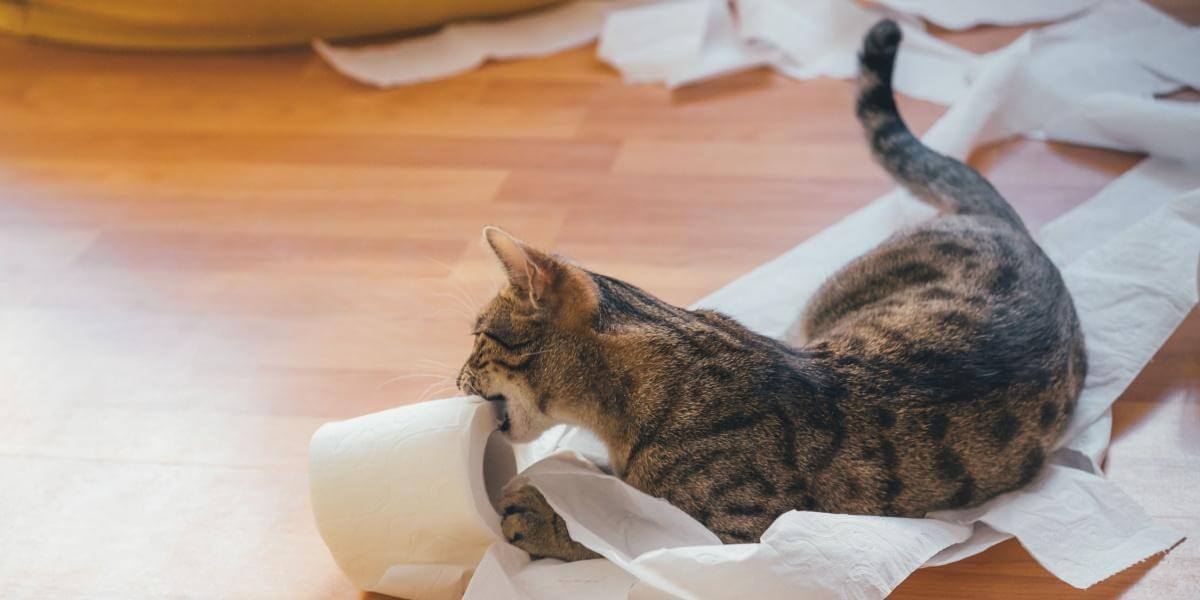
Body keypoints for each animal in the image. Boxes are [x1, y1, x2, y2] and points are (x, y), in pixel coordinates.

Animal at [453, 19, 1084, 561]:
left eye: (478, 336)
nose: (457, 381)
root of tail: (1009, 225)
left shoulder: (735, 530)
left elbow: (621, 529)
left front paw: (543, 516)